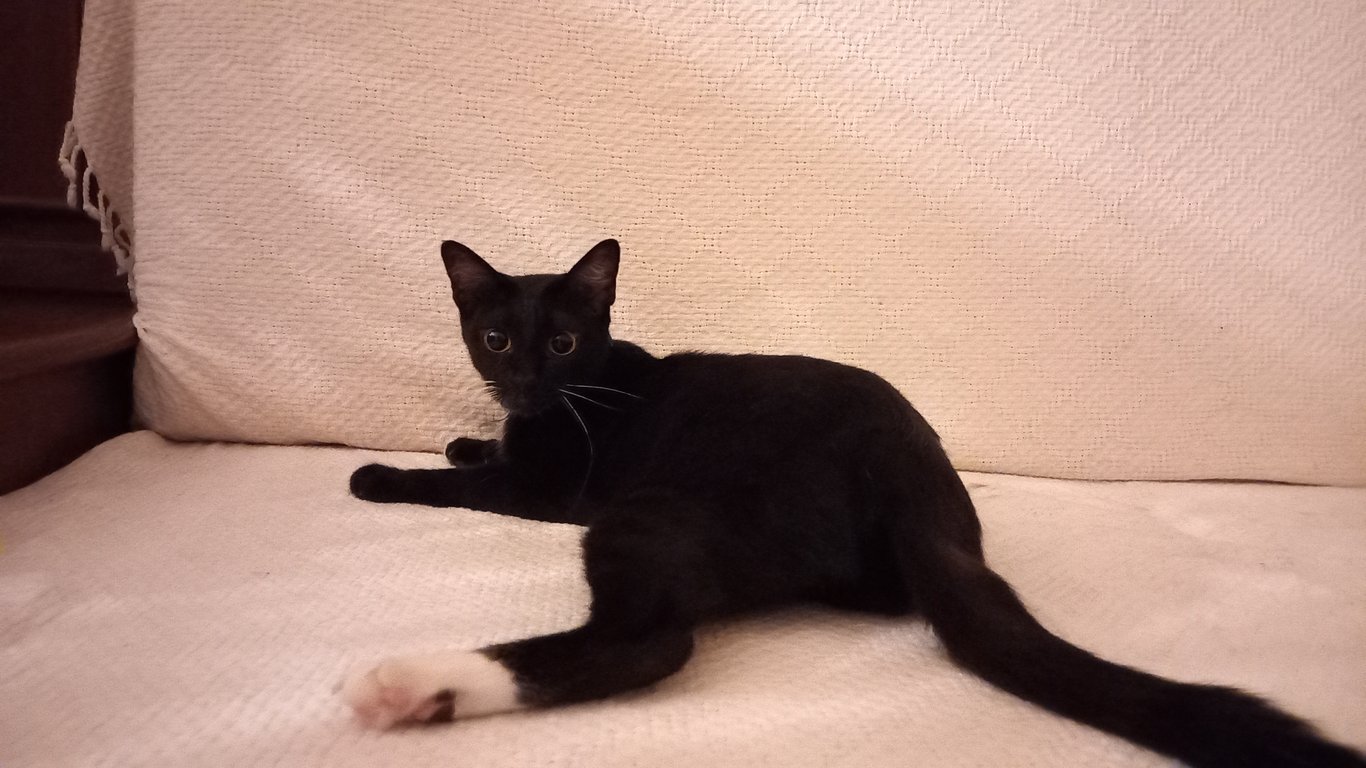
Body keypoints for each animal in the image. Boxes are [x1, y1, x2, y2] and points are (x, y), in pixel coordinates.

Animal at [342, 239, 1365, 767]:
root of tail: (911, 465)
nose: (519, 383)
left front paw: (383, 476)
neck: (566, 399)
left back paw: (413, 686)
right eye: (493, 337)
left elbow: (467, 484)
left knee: (648, 644)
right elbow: (476, 456)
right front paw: (465, 435)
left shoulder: (554, 490)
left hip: (652, 513)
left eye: (559, 342)